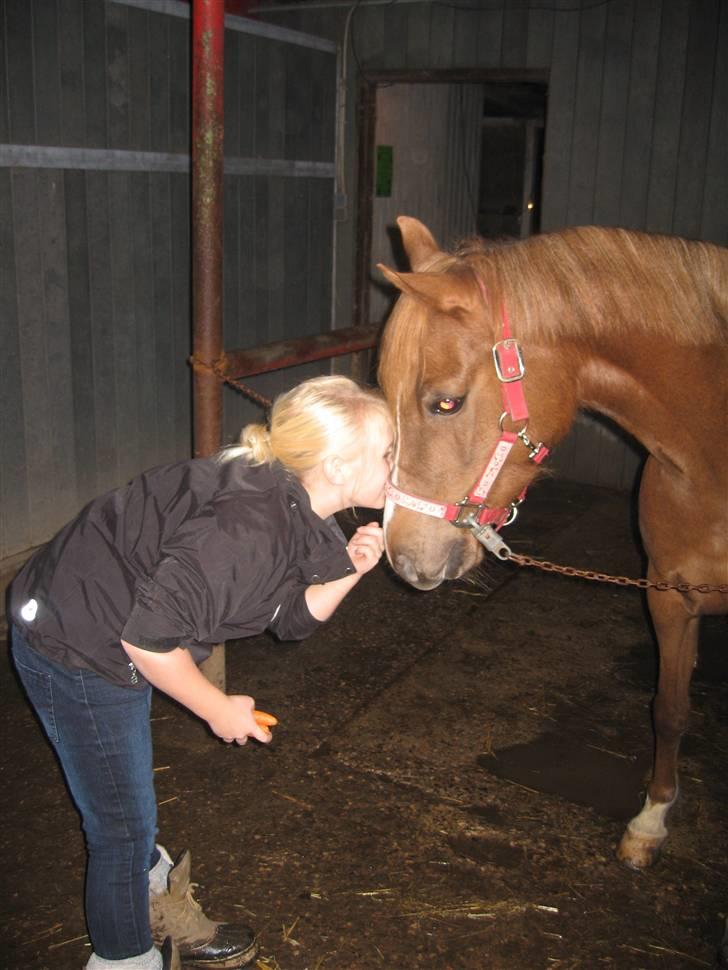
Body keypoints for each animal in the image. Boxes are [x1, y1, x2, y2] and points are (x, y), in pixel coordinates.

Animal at [377, 216, 728, 872]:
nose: (404, 560)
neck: (709, 463)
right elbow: (669, 711)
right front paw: (650, 822)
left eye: (445, 402)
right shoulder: (669, 595)